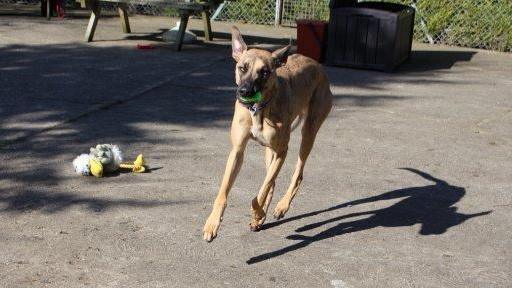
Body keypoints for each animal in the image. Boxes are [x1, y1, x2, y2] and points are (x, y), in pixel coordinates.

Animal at [202, 27, 334, 242]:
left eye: (264, 72)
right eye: (242, 68)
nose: (244, 91)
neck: (259, 109)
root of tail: (316, 65)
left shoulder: (282, 151)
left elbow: (260, 192)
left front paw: (257, 212)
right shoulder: (237, 151)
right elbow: (225, 192)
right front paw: (212, 223)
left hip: (309, 131)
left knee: (295, 174)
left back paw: (280, 206)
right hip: (270, 150)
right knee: (271, 179)